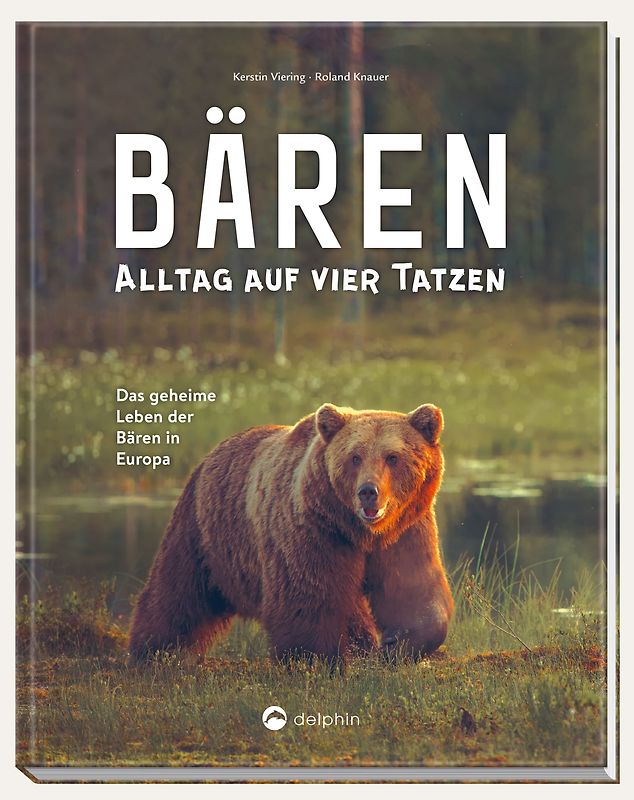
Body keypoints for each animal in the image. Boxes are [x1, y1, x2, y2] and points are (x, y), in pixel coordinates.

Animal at [128, 403, 453, 663]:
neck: (359, 532)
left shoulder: (406, 531)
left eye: (392, 457)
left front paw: (396, 643)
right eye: (355, 457)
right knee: (177, 590)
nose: (367, 492)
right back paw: (152, 651)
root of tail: (209, 456)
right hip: (205, 532)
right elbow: (307, 597)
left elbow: (413, 591)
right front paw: (318, 660)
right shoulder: (314, 531)